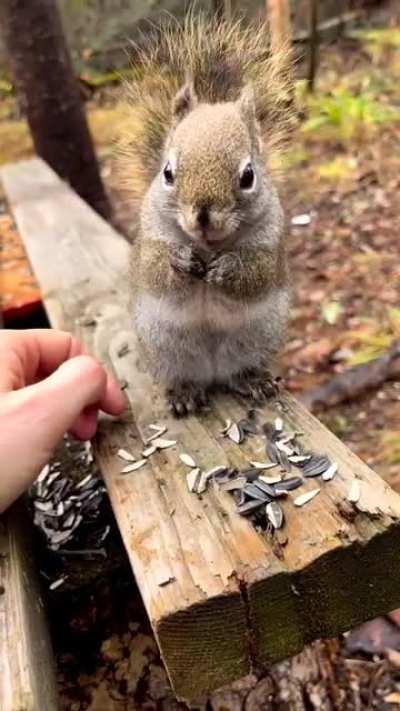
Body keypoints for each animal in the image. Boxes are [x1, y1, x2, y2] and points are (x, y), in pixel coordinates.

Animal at [119, 15, 294, 416]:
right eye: (167, 173)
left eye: (248, 176)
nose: (202, 215)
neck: (209, 247)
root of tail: (211, 371)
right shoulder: (149, 241)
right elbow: (153, 271)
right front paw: (180, 262)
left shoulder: (272, 243)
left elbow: (258, 274)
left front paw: (228, 269)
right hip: (165, 346)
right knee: (185, 375)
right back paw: (184, 391)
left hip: (256, 338)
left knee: (237, 369)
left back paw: (252, 380)